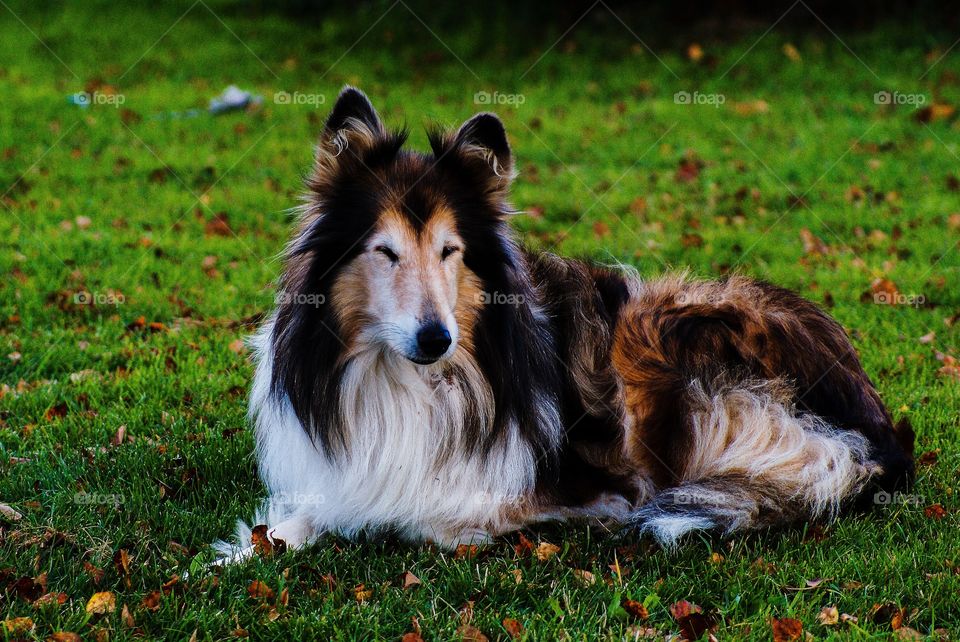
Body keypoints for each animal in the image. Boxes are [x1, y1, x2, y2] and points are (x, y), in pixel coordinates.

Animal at [212, 87, 916, 564]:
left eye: (450, 250)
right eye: (383, 250)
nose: (435, 339)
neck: (409, 381)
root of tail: (876, 426)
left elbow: (438, 515)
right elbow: (293, 522)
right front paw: (240, 553)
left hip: (657, 332)